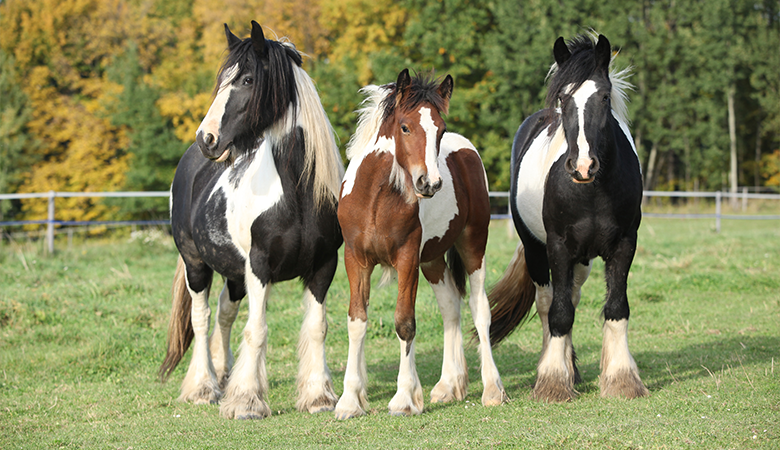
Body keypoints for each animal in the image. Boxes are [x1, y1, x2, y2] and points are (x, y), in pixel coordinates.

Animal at [158, 21, 344, 419]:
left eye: (246, 79)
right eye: (222, 79)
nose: (207, 138)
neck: (295, 195)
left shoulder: (324, 265)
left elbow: (317, 327)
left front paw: (318, 396)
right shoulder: (259, 267)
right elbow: (256, 330)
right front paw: (246, 401)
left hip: (233, 274)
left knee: (224, 315)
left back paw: (222, 375)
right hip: (196, 265)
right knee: (201, 318)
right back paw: (203, 387)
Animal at [334, 69, 506, 419]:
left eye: (440, 129)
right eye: (405, 126)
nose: (430, 184)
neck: (375, 200)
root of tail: (467, 150)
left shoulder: (407, 260)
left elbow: (405, 323)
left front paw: (405, 398)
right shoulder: (356, 260)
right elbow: (357, 321)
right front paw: (349, 401)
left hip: (473, 244)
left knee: (479, 309)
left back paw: (492, 389)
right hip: (433, 260)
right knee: (450, 306)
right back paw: (449, 386)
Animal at [487, 34, 649, 402]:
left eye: (604, 97)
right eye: (563, 98)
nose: (583, 166)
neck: (593, 192)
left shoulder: (624, 245)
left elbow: (616, 307)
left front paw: (621, 379)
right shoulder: (558, 247)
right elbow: (559, 313)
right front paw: (553, 382)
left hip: (583, 259)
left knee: (571, 296)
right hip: (537, 251)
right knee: (549, 303)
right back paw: (555, 368)